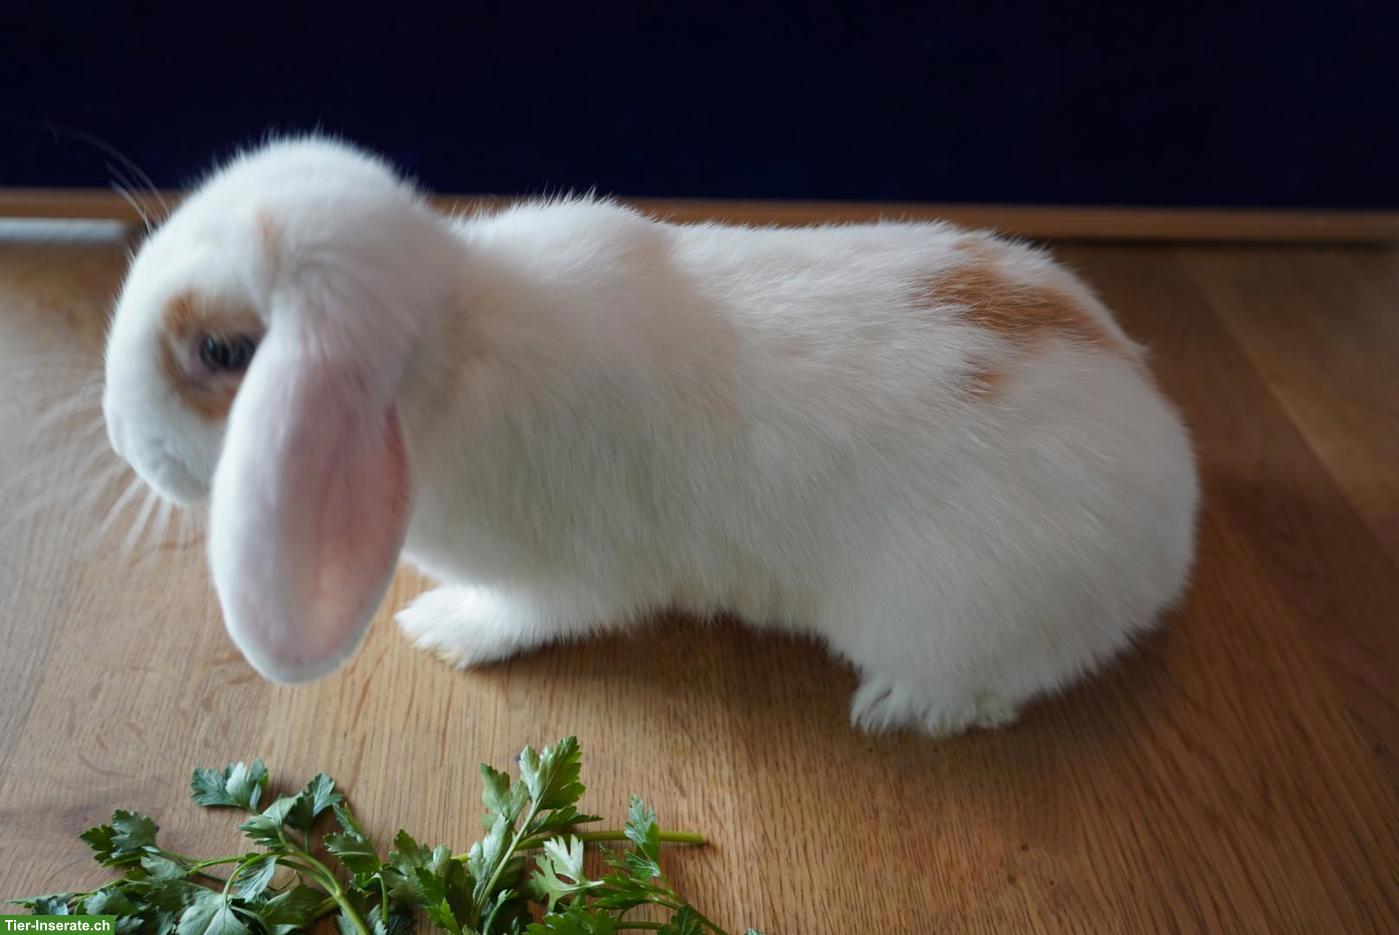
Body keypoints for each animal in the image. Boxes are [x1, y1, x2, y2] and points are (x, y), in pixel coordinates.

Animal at [102, 136, 1198, 737]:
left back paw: (897, 706)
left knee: (993, 689)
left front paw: (442, 631)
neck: (446, 353)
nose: (117, 429)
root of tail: (1169, 501)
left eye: (222, 350)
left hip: (954, 616)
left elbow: (524, 613)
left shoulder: (560, 575)